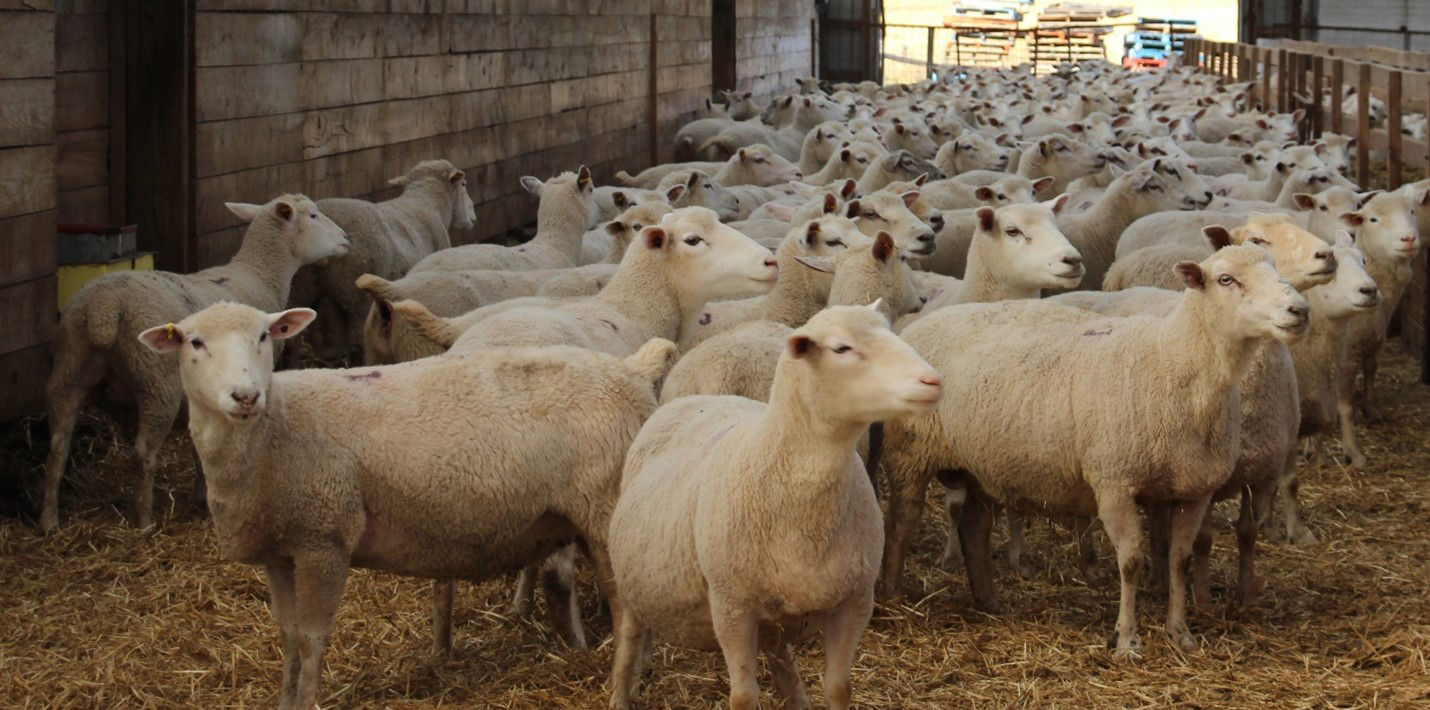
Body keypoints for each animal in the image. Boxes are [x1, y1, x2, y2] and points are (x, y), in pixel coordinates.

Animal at [142, 300, 677, 708]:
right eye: (194, 343)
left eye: (263, 336)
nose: (245, 395)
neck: (276, 428)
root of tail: (630, 369)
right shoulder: (282, 550)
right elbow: (289, 637)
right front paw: (285, 699)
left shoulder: (324, 539)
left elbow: (313, 639)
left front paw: (309, 700)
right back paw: (642, 674)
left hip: (602, 508)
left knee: (629, 614)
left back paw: (619, 692)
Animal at [283, 158, 474, 362]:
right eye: (464, 185)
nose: (472, 215)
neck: (428, 204)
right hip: (357, 296)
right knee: (358, 342)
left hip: (297, 289)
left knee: (290, 342)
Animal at [609, 301, 943, 705]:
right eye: (841, 348)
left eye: (890, 331)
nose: (933, 381)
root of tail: (700, 396)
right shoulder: (732, 608)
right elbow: (742, 697)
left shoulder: (855, 602)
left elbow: (839, 687)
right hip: (630, 582)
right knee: (629, 637)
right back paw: (619, 695)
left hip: (774, 609)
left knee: (780, 654)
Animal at [886, 242, 1309, 654]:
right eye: (1226, 279)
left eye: (1275, 267)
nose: (1301, 310)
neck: (1173, 361)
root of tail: (928, 320)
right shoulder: (1115, 482)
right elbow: (1131, 561)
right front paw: (1126, 640)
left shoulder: (1195, 491)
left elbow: (1181, 559)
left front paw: (1180, 633)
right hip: (909, 453)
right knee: (903, 522)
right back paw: (892, 596)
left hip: (983, 464)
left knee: (974, 526)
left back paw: (988, 601)